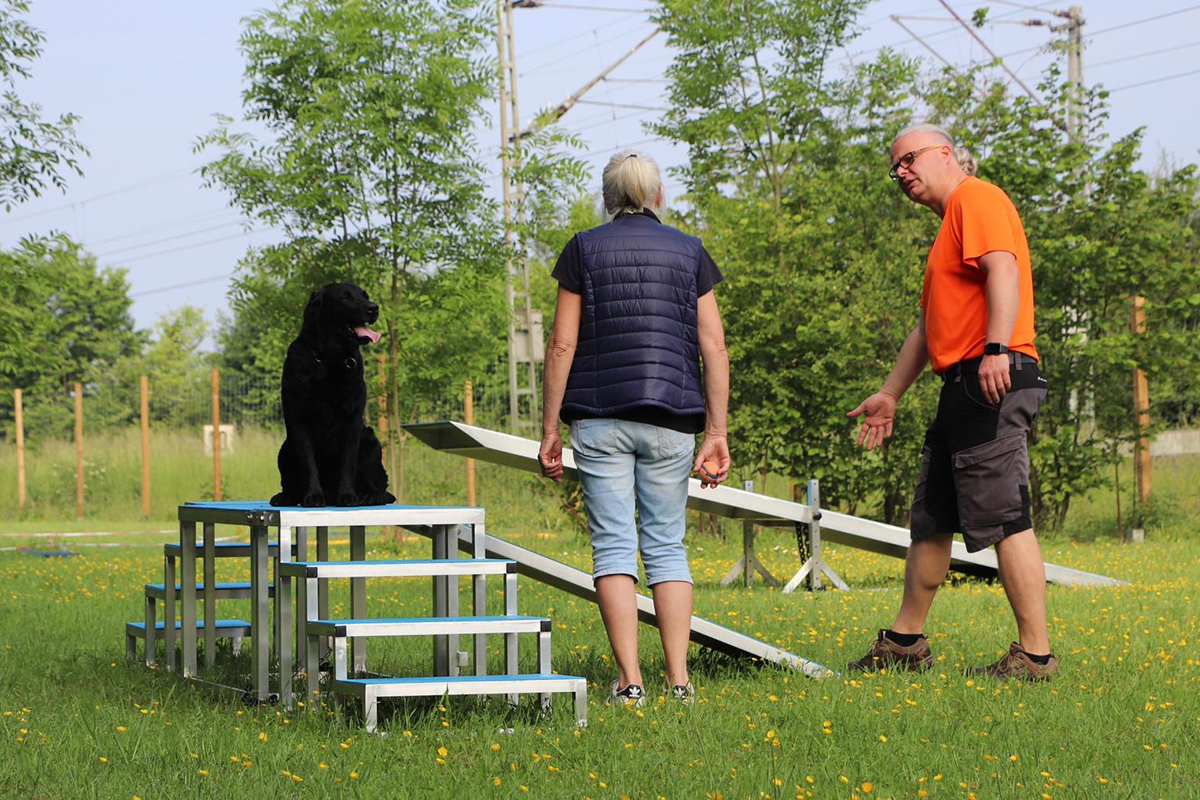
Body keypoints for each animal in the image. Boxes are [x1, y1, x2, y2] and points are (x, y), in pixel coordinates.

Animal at [270, 281, 396, 506]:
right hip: (285, 449)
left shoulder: (353, 421)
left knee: (382, 488)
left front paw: (347, 495)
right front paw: (313, 495)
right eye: (345, 297)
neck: (330, 359)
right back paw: (286, 496)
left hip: (370, 440)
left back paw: (369, 495)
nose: (373, 308)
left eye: (365, 296)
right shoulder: (298, 419)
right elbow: (309, 463)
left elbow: (348, 463)